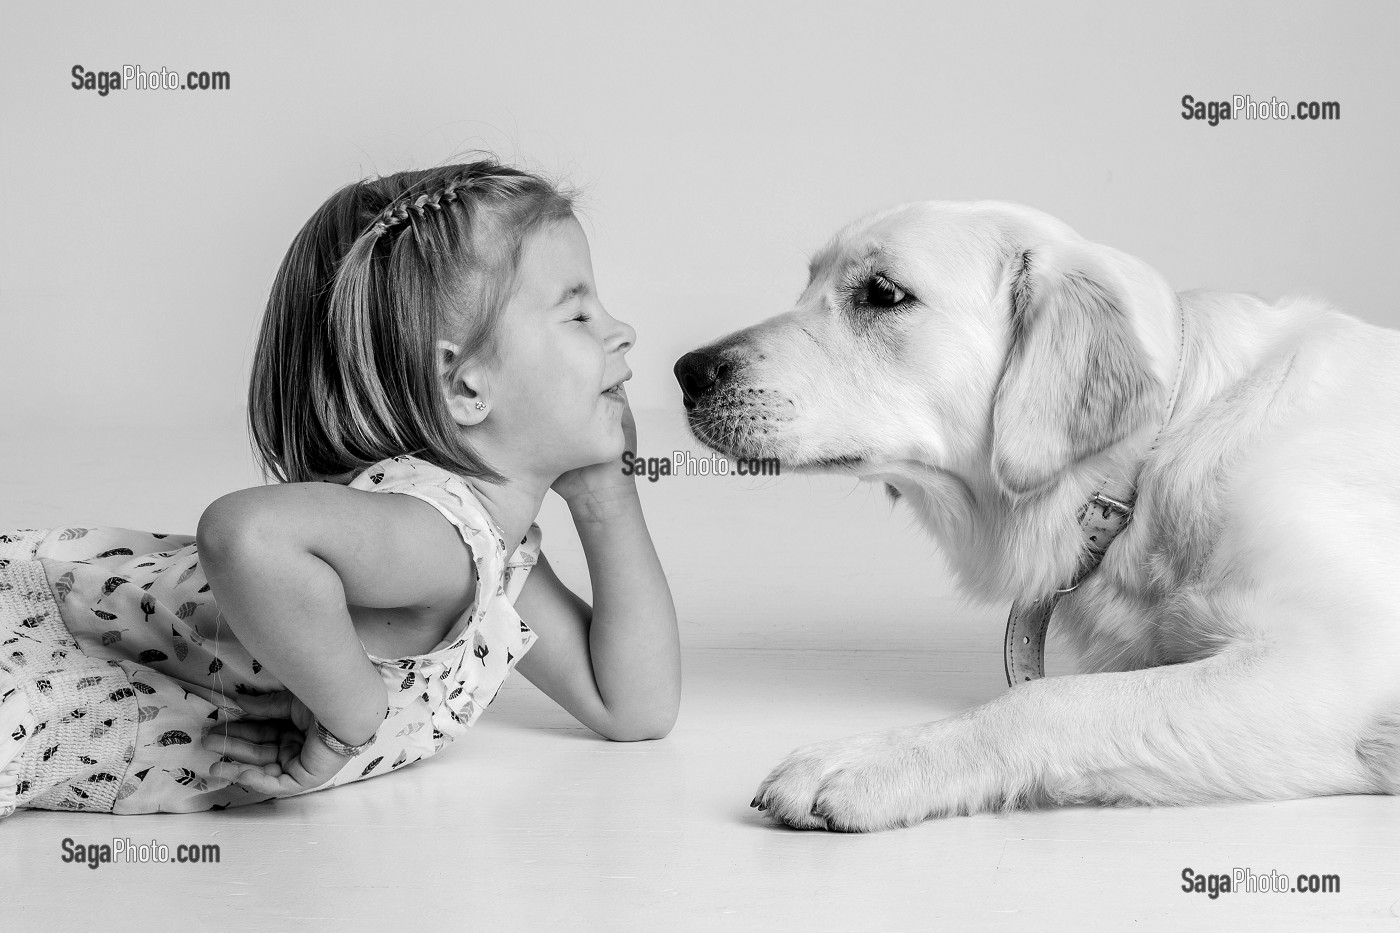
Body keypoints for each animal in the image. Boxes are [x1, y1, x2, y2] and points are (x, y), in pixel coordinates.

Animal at [674, 201, 1400, 829]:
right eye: (808, 282)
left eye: (882, 293)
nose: (687, 371)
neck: (1159, 450)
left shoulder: (1331, 665)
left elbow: (1043, 700)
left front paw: (871, 760)